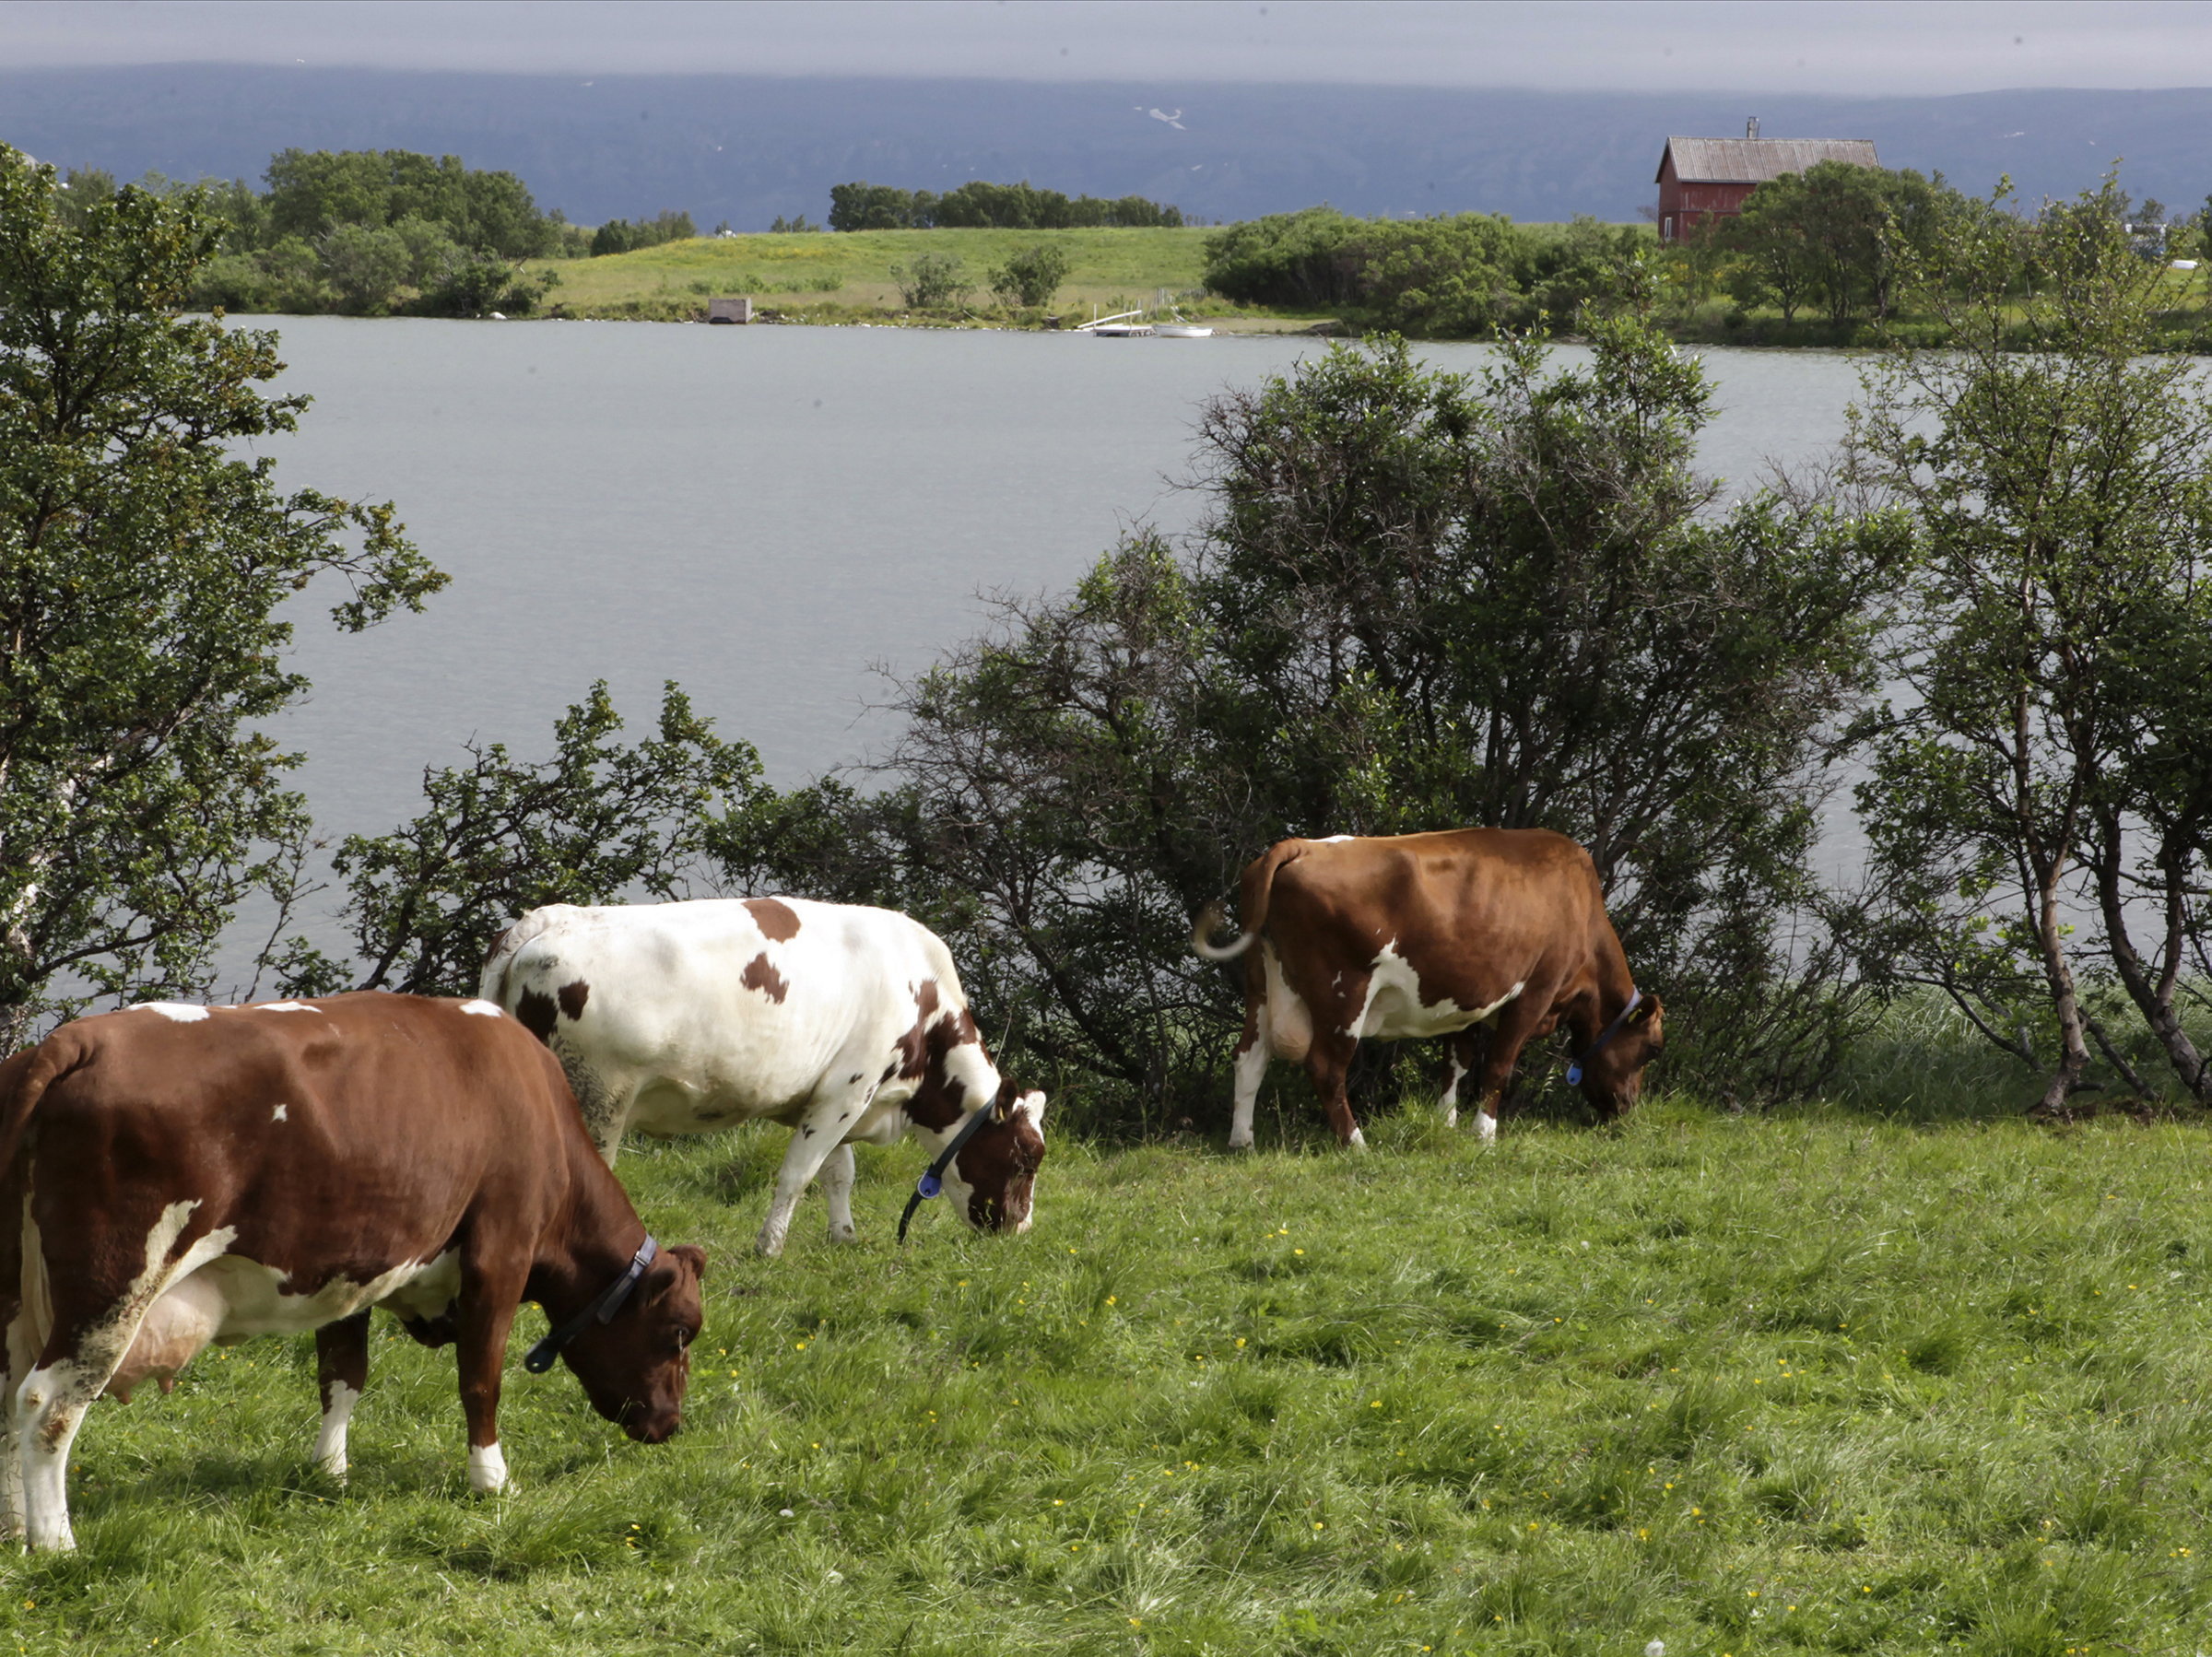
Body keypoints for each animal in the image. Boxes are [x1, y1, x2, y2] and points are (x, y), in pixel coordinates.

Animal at [0, 993, 708, 1552]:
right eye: (680, 1330)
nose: (670, 1424)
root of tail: (74, 1039)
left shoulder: (353, 1269)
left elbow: (341, 1375)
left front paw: (329, 1473)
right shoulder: (500, 1254)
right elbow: (481, 1380)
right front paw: (491, 1481)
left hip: (20, 1296)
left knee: (9, 1395)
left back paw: (14, 1529)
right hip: (112, 1286)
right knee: (48, 1406)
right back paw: (56, 1543)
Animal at [478, 898, 1048, 1257]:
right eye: (1025, 1157)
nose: (1022, 1229)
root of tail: (544, 922)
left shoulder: (836, 1096)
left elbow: (838, 1172)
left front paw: (844, 1236)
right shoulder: (848, 1088)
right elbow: (798, 1173)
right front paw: (769, 1247)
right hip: (599, 1097)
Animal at [1191, 829, 1663, 1149]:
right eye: (1652, 1050)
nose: (1628, 1110)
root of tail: (1300, 845)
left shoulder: (1468, 995)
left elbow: (1458, 1060)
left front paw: (1446, 1121)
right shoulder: (1535, 992)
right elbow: (1498, 1066)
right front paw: (1484, 1133)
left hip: (1262, 984)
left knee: (1249, 1057)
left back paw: (1242, 1141)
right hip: (1344, 992)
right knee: (1325, 1067)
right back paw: (1357, 1143)